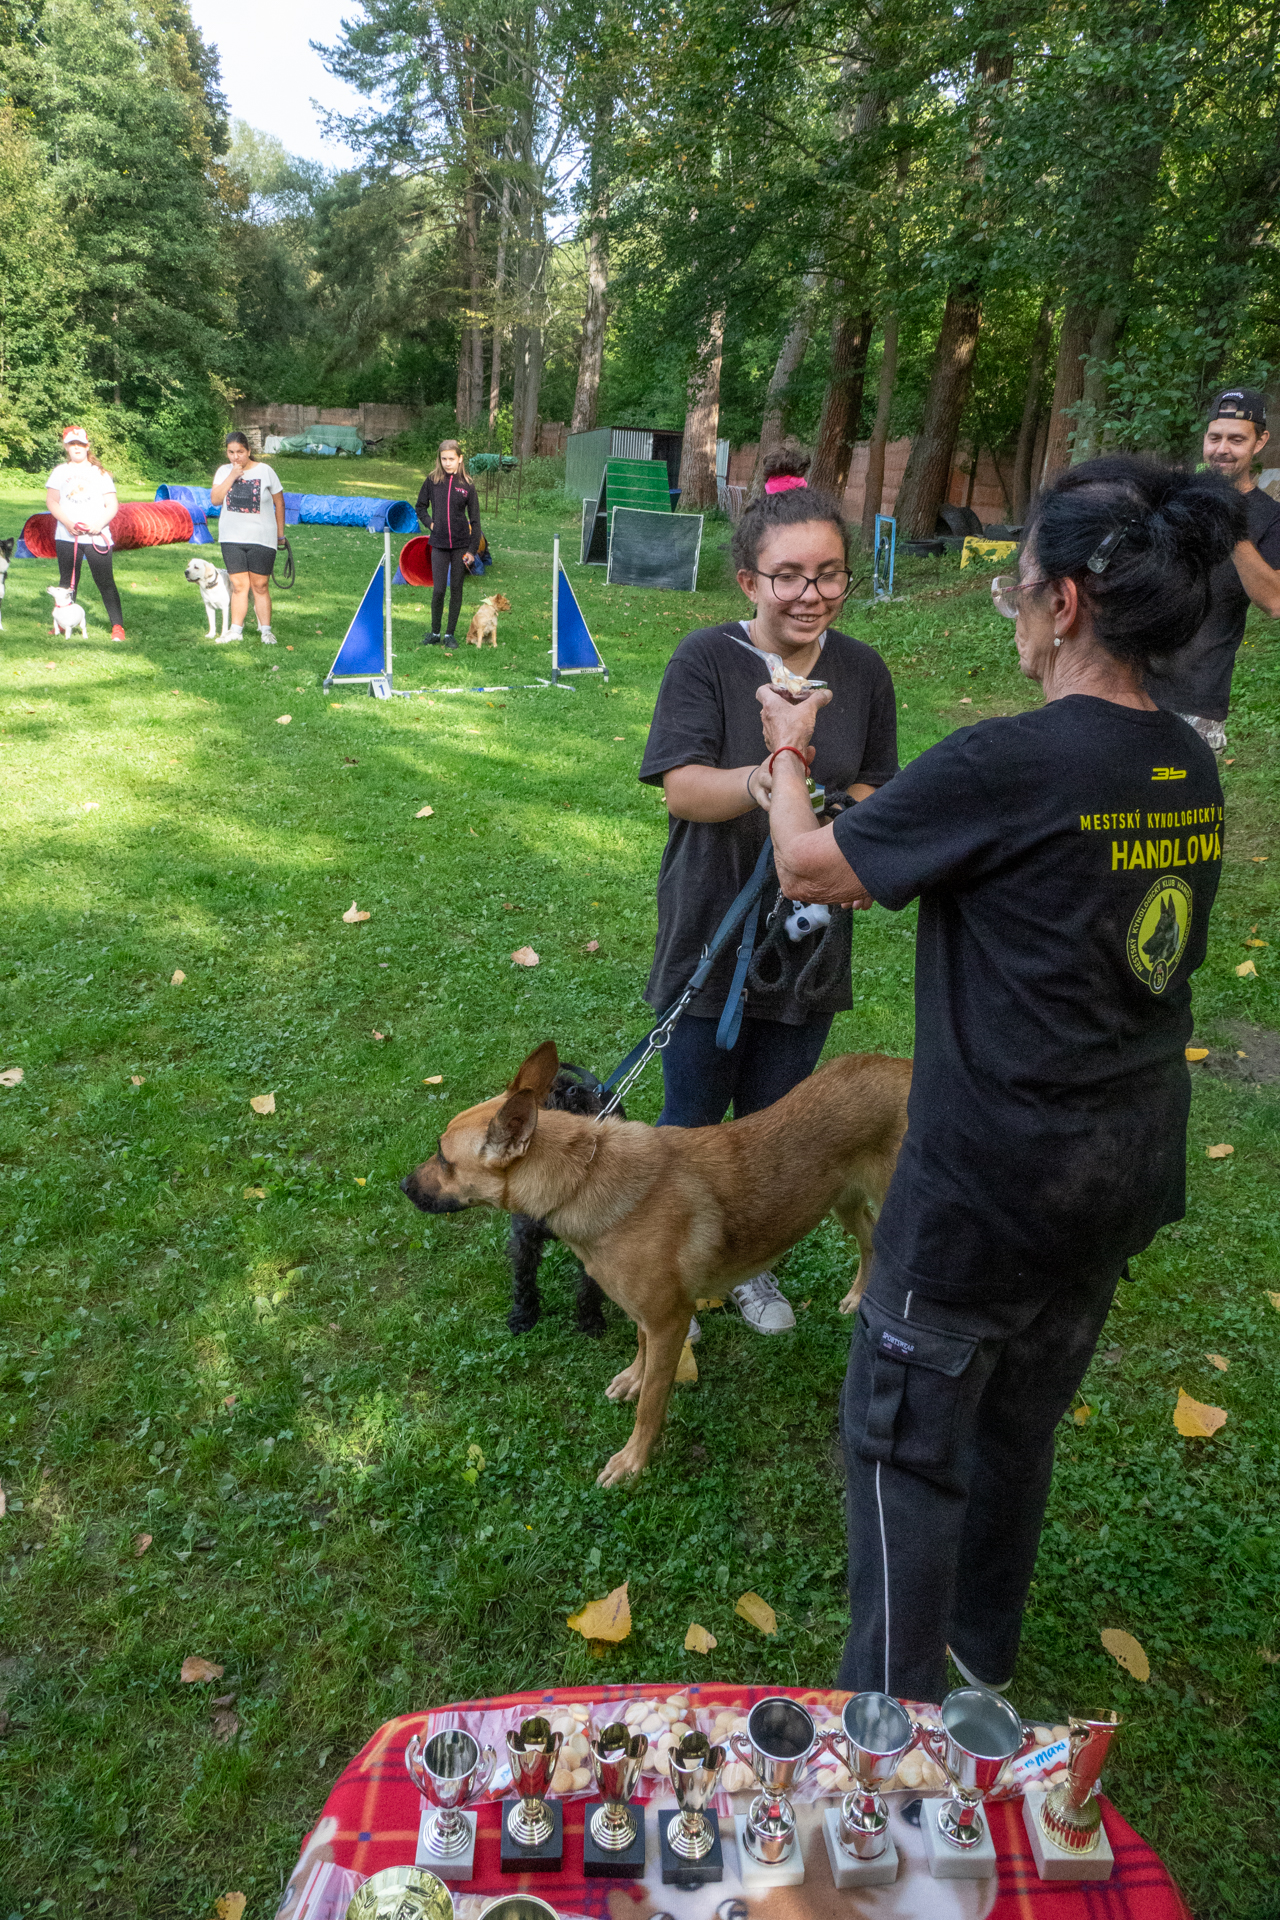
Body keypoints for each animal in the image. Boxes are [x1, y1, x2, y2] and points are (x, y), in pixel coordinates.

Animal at [508, 1065, 615, 1337]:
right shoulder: (524, 1238)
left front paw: (590, 1319)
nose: (573, 1090)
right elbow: (523, 1279)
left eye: (570, 1085)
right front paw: (523, 1316)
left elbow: (589, 1286)